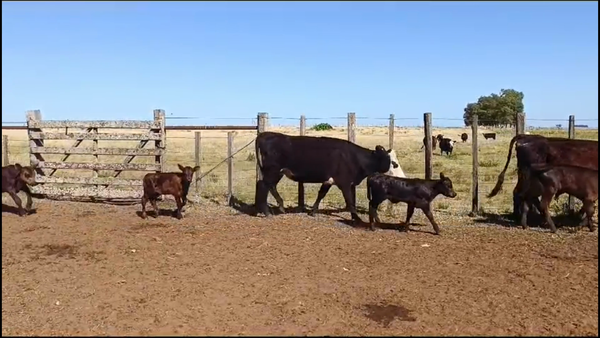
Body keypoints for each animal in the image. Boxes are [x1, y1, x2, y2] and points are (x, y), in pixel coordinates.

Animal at [254, 131, 398, 223]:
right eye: (391, 161)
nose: (396, 166)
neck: (353, 157)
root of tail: (265, 134)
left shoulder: (328, 181)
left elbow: (321, 194)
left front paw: (312, 212)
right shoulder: (345, 183)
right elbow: (349, 200)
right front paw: (355, 217)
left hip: (277, 172)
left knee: (271, 186)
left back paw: (280, 207)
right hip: (272, 171)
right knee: (263, 186)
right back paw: (266, 212)